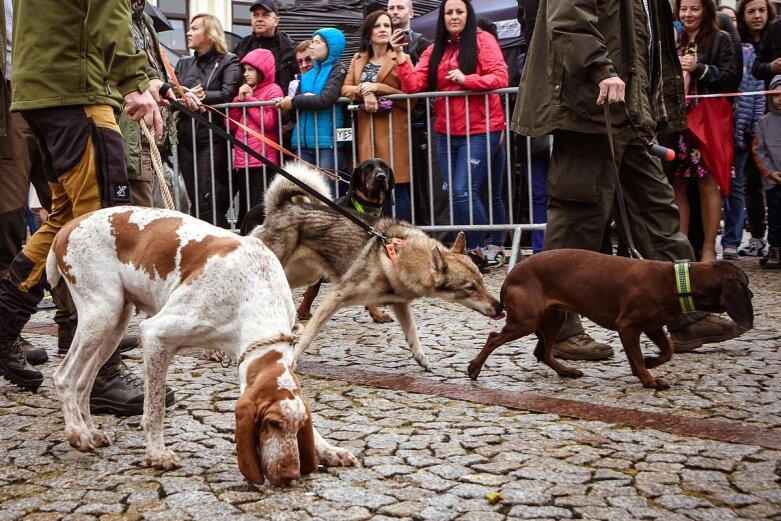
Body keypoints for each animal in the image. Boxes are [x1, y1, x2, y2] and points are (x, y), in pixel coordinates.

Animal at [45, 206, 356, 484]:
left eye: (297, 427)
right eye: (272, 424)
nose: (291, 474)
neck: (255, 290)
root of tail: (67, 227)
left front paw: (328, 450)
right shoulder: (155, 336)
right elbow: (155, 408)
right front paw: (156, 454)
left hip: (115, 326)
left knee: (83, 382)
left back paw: (90, 430)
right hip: (102, 315)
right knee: (64, 377)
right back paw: (78, 433)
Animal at [466, 250, 752, 388]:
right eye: (745, 283)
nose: (751, 295)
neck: (677, 280)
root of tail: (512, 274)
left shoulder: (652, 326)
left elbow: (668, 350)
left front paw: (651, 363)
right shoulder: (628, 327)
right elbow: (637, 357)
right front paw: (648, 379)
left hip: (554, 319)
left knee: (543, 352)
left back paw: (567, 371)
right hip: (525, 322)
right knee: (493, 338)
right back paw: (474, 368)